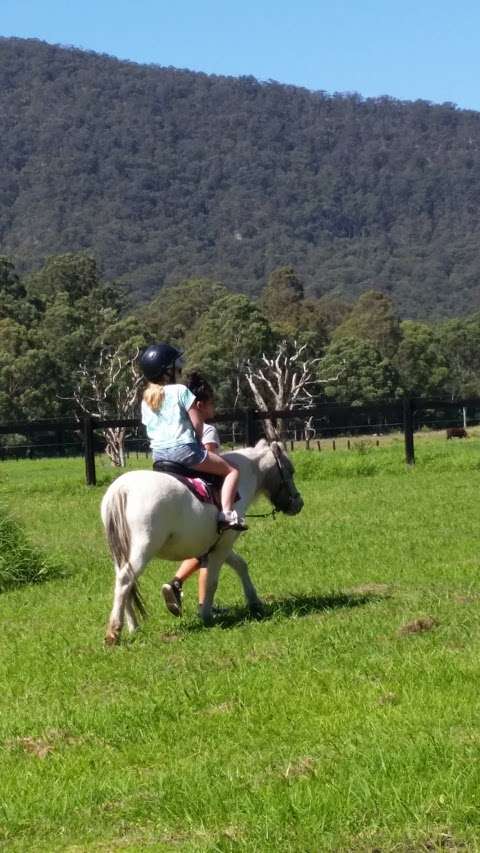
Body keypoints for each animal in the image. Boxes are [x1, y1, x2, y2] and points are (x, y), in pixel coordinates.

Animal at [101, 442, 304, 644]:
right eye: (290, 471)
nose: (299, 504)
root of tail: (122, 488)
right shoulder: (222, 547)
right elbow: (211, 581)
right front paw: (207, 616)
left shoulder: (217, 546)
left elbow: (240, 565)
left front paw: (254, 601)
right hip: (143, 549)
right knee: (126, 579)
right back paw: (114, 632)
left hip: (121, 553)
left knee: (125, 584)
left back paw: (133, 626)